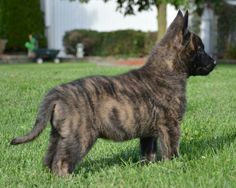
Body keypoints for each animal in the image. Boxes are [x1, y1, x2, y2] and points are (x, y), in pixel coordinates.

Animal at [10, 10, 216, 176]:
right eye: (200, 49)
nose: (214, 62)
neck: (166, 70)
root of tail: (57, 93)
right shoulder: (171, 125)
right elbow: (171, 150)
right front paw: (174, 166)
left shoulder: (149, 133)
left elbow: (148, 152)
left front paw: (148, 168)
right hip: (79, 136)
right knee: (62, 161)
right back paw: (68, 179)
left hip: (58, 134)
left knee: (49, 157)